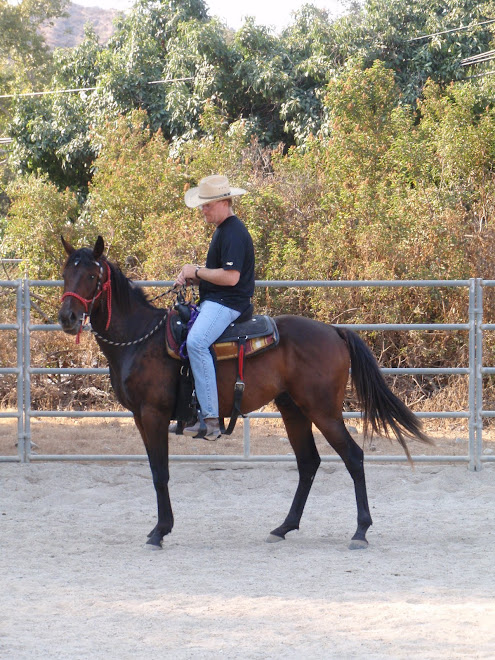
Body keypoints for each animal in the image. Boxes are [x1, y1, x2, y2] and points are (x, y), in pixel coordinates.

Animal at [58, 236, 432, 548]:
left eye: (91, 276)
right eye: (65, 273)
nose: (67, 317)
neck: (140, 339)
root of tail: (334, 331)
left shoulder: (153, 414)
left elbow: (161, 473)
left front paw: (160, 531)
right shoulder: (139, 417)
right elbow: (154, 471)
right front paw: (159, 528)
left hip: (324, 411)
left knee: (353, 457)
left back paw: (360, 531)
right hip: (293, 409)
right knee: (308, 463)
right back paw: (283, 527)